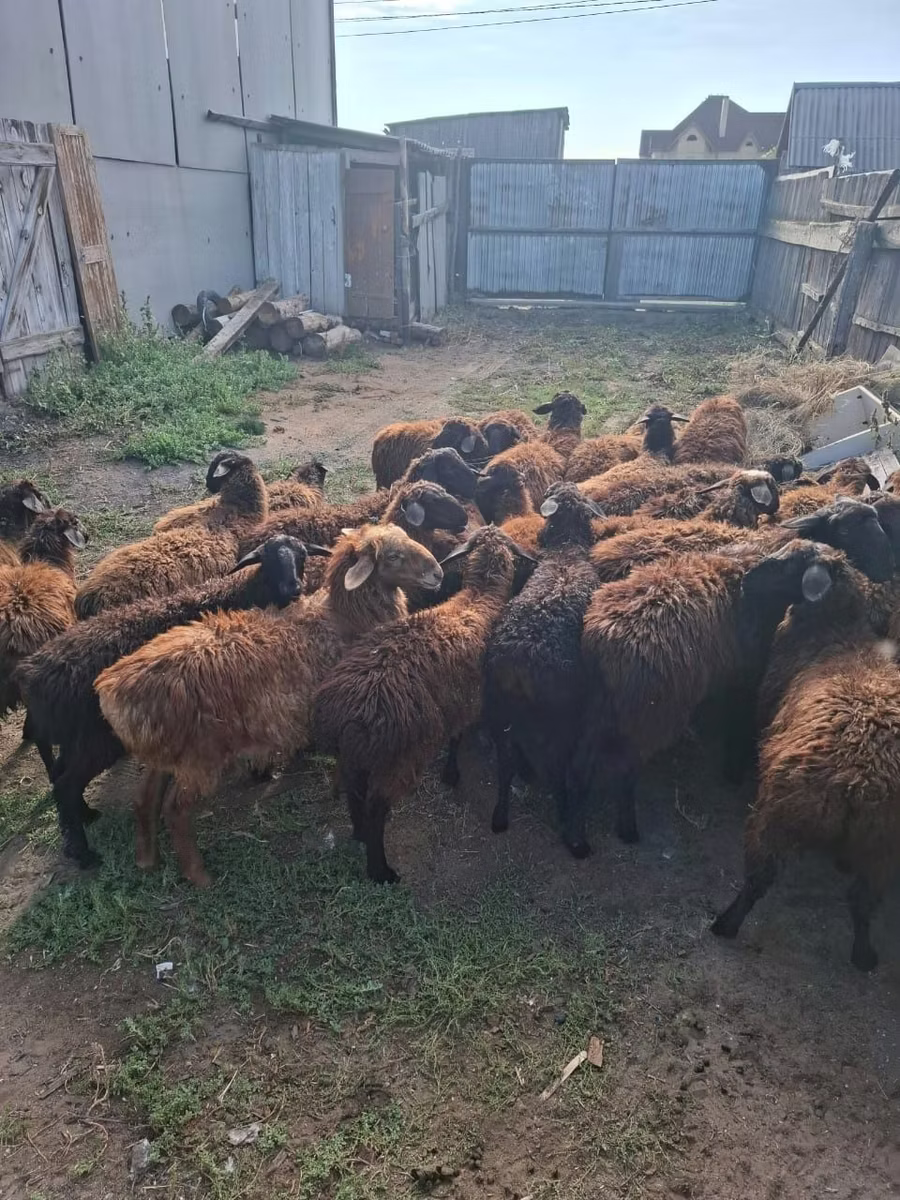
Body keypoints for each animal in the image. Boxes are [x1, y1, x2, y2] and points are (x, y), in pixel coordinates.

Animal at [20, 536, 322, 869]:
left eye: (302, 557)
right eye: (268, 562)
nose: (294, 588)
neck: (240, 595)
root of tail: (33, 673)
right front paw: (260, 769)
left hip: (76, 738)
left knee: (60, 776)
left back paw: (83, 818)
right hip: (96, 738)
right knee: (66, 784)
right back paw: (83, 853)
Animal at [95, 525, 443, 886]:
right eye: (393, 556)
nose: (438, 573)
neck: (345, 618)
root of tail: (113, 688)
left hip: (168, 751)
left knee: (145, 797)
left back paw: (146, 858)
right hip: (200, 756)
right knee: (175, 809)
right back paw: (199, 875)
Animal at [314, 525, 535, 882]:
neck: (480, 598)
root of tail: (348, 714)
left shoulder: (458, 699)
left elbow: (456, 737)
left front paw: (450, 772)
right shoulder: (480, 703)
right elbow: (478, 744)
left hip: (355, 758)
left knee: (355, 793)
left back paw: (359, 835)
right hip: (399, 756)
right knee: (376, 806)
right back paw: (381, 870)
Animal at [483, 484, 603, 855]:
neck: (566, 552)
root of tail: (519, 662)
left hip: (497, 707)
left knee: (505, 761)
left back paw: (500, 815)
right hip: (559, 720)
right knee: (558, 769)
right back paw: (570, 827)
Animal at [576, 540, 852, 846]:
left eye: (793, 563)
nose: (749, 580)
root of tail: (601, 638)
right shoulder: (743, 677)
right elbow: (738, 720)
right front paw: (732, 770)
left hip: (603, 707)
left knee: (582, 761)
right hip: (650, 715)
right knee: (623, 769)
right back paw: (627, 830)